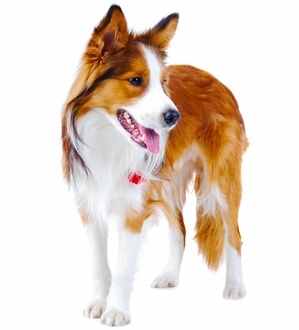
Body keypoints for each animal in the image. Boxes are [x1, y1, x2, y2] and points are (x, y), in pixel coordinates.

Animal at [61, 5, 248, 328]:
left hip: (221, 180)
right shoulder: (90, 204)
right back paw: (170, 275)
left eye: (163, 84)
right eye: (136, 81)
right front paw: (98, 303)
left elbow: (123, 268)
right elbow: (99, 264)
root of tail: (216, 79)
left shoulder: (132, 210)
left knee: (234, 233)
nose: (175, 116)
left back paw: (235, 286)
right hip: (166, 183)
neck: (109, 138)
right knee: (180, 229)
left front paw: (116, 311)